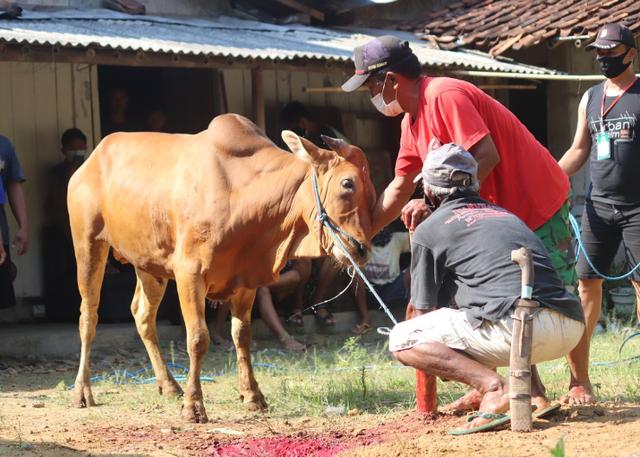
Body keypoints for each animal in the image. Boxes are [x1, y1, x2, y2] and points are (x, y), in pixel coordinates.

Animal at [66, 112, 376, 422]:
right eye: (347, 184)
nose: (361, 249)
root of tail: (90, 161)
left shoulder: (246, 280)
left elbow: (242, 335)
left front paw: (252, 396)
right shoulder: (189, 273)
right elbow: (198, 338)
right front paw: (193, 406)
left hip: (149, 265)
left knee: (142, 316)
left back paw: (169, 384)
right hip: (88, 244)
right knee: (88, 317)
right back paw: (82, 391)